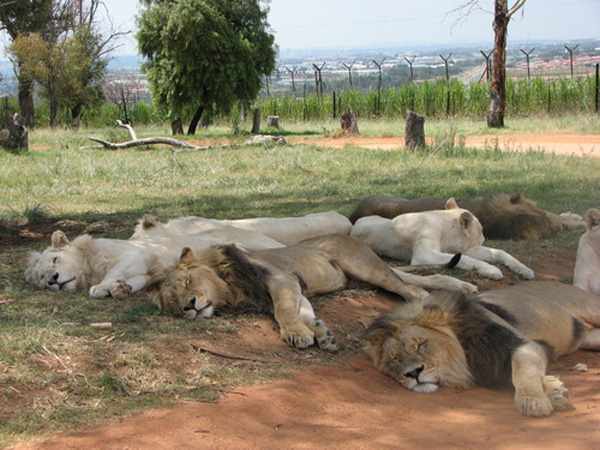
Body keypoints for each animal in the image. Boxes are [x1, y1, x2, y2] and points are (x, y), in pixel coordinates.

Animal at [157, 234, 476, 354]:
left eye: (187, 280)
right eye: (171, 302)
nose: (188, 306)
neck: (227, 283)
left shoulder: (281, 278)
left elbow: (284, 311)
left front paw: (296, 334)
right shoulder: (291, 287)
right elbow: (303, 311)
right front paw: (322, 333)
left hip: (366, 268)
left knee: (413, 288)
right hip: (368, 277)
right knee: (421, 278)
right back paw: (466, 287)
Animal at [352, 199, 536, 280]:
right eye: (481, 230)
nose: (484, 238)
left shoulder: (467, 248)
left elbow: (500, 252)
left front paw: (525, 270)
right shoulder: (424, 254)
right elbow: (465, 260)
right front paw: (491, 270)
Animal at [364, 282, 600, 418]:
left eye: (421, 344)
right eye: (395, 359)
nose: (413, 373)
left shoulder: (520, 343)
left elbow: (522, 371)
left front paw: (533, 401)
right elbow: (514, 376)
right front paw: (553, 390)